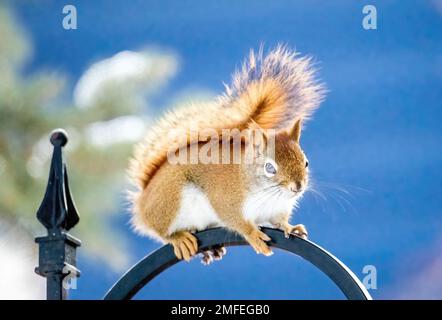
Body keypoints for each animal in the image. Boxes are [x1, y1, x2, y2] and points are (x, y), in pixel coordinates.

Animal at [128, 45, 324, 264]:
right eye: (269, 167)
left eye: (306, 162)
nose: (297, 187)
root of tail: (143, 201)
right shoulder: (226, 200)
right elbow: (236, 221)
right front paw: (253, 235)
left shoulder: (277, 209)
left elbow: (279, 221)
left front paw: (291, 227)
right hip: (170, 202)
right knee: (162, 230)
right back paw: (179, 239)